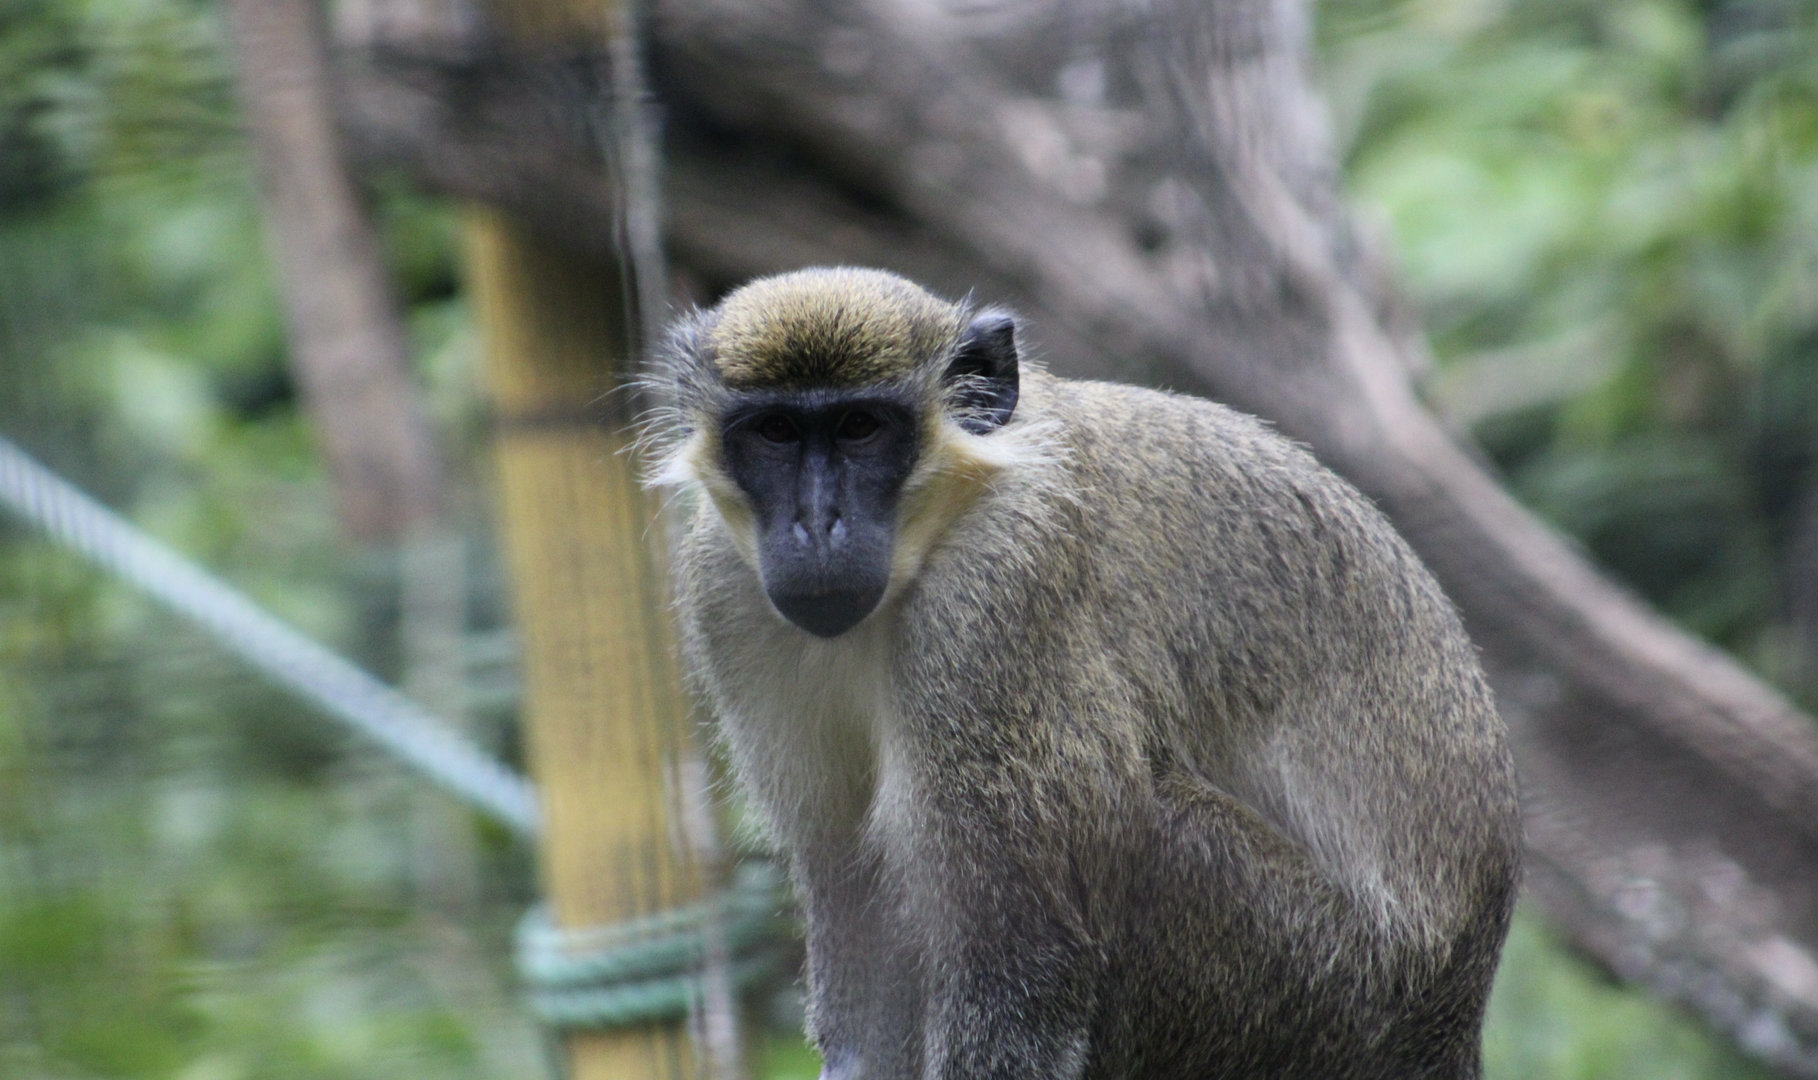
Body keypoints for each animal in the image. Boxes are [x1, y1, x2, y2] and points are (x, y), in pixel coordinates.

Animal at [644, 267, 1522, 1080]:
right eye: (776, 434)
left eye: (861, 428)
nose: (816, 525)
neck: (951, 511)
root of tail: (1450, 1023)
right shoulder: (723, 590)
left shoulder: (998, 592)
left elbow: (1022, 981)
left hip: (1322, 992)